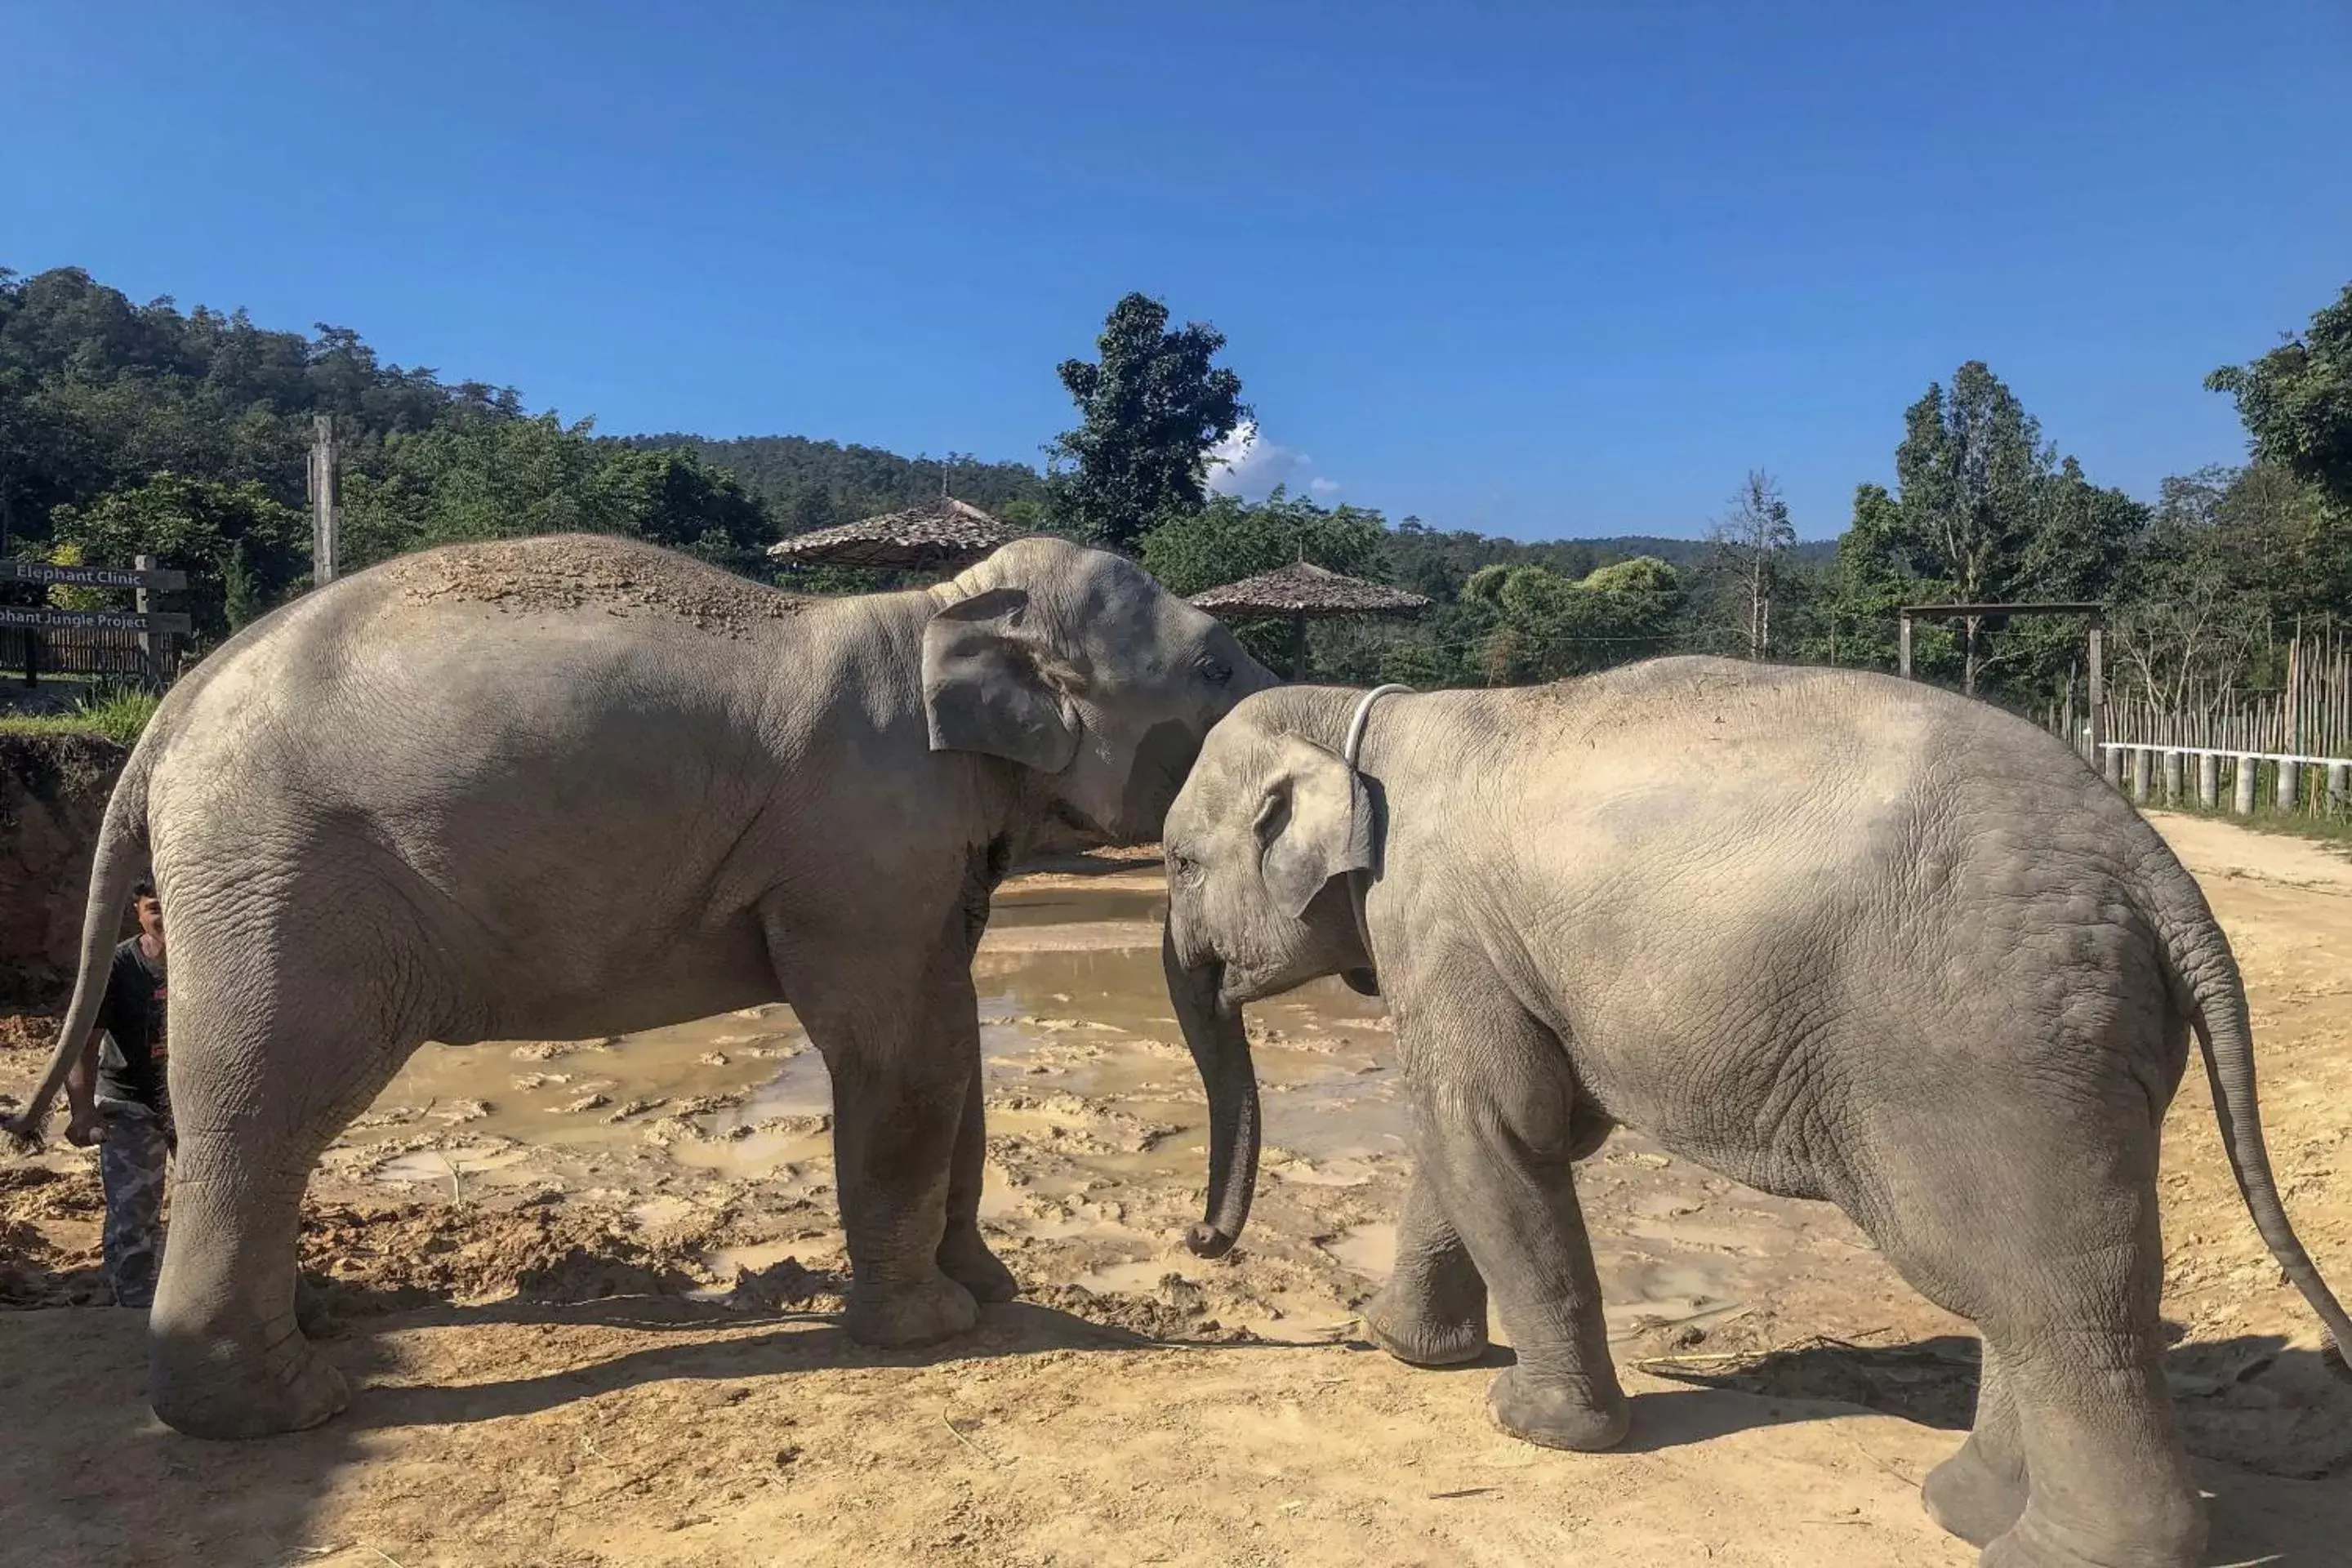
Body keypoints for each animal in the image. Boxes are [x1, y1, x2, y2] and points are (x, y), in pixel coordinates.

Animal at [0, 533, 1279, 1438]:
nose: (1206, 1243)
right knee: (261, 1100)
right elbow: (897, 1052)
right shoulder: (864, 839)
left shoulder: (925, 853)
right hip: (286, 873)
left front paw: (989, 1292)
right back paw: (289, 1409)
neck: (941, 608)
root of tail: (167, 712)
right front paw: (927, 1332)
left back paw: (316, 1326)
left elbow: (952, 1041)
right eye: (1217, 666)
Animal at [1156, 657, 2352, 1568]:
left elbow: (1491, 1127)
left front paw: (1531, 1428)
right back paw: (1960, 1508)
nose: (1203, 1241)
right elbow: (1491, 1138)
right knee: (2033, 1277)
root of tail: (2151, 862)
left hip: (1988, 1040)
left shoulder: (1437, 922)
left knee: (2039, 1285)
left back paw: (2047, 1552)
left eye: (1174, 862)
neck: (1367, 716)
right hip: (2080, 1036)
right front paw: (1405, 1349)